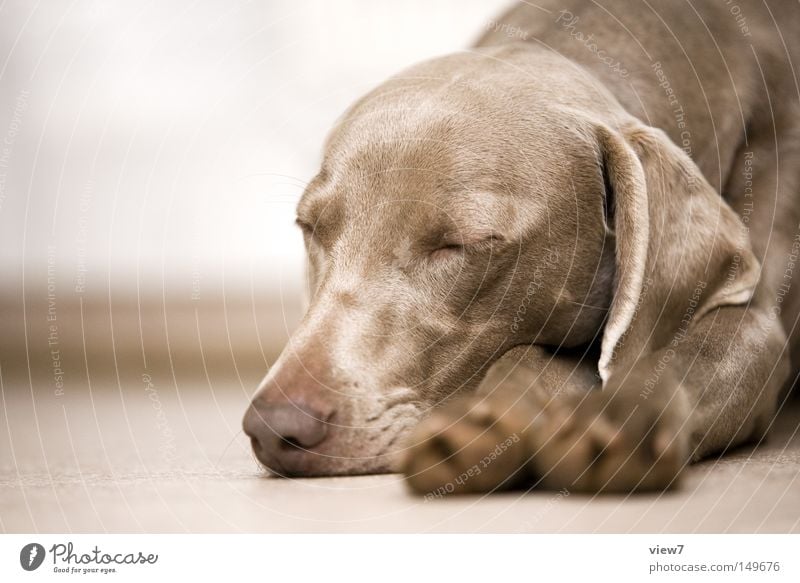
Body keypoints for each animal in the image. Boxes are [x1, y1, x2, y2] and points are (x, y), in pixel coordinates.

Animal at [242, 0, 800, 496]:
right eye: (309, 227)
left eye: (460, 243)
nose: (274, 427)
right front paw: (491, 420)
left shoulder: (757, 323)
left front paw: (618, 422)